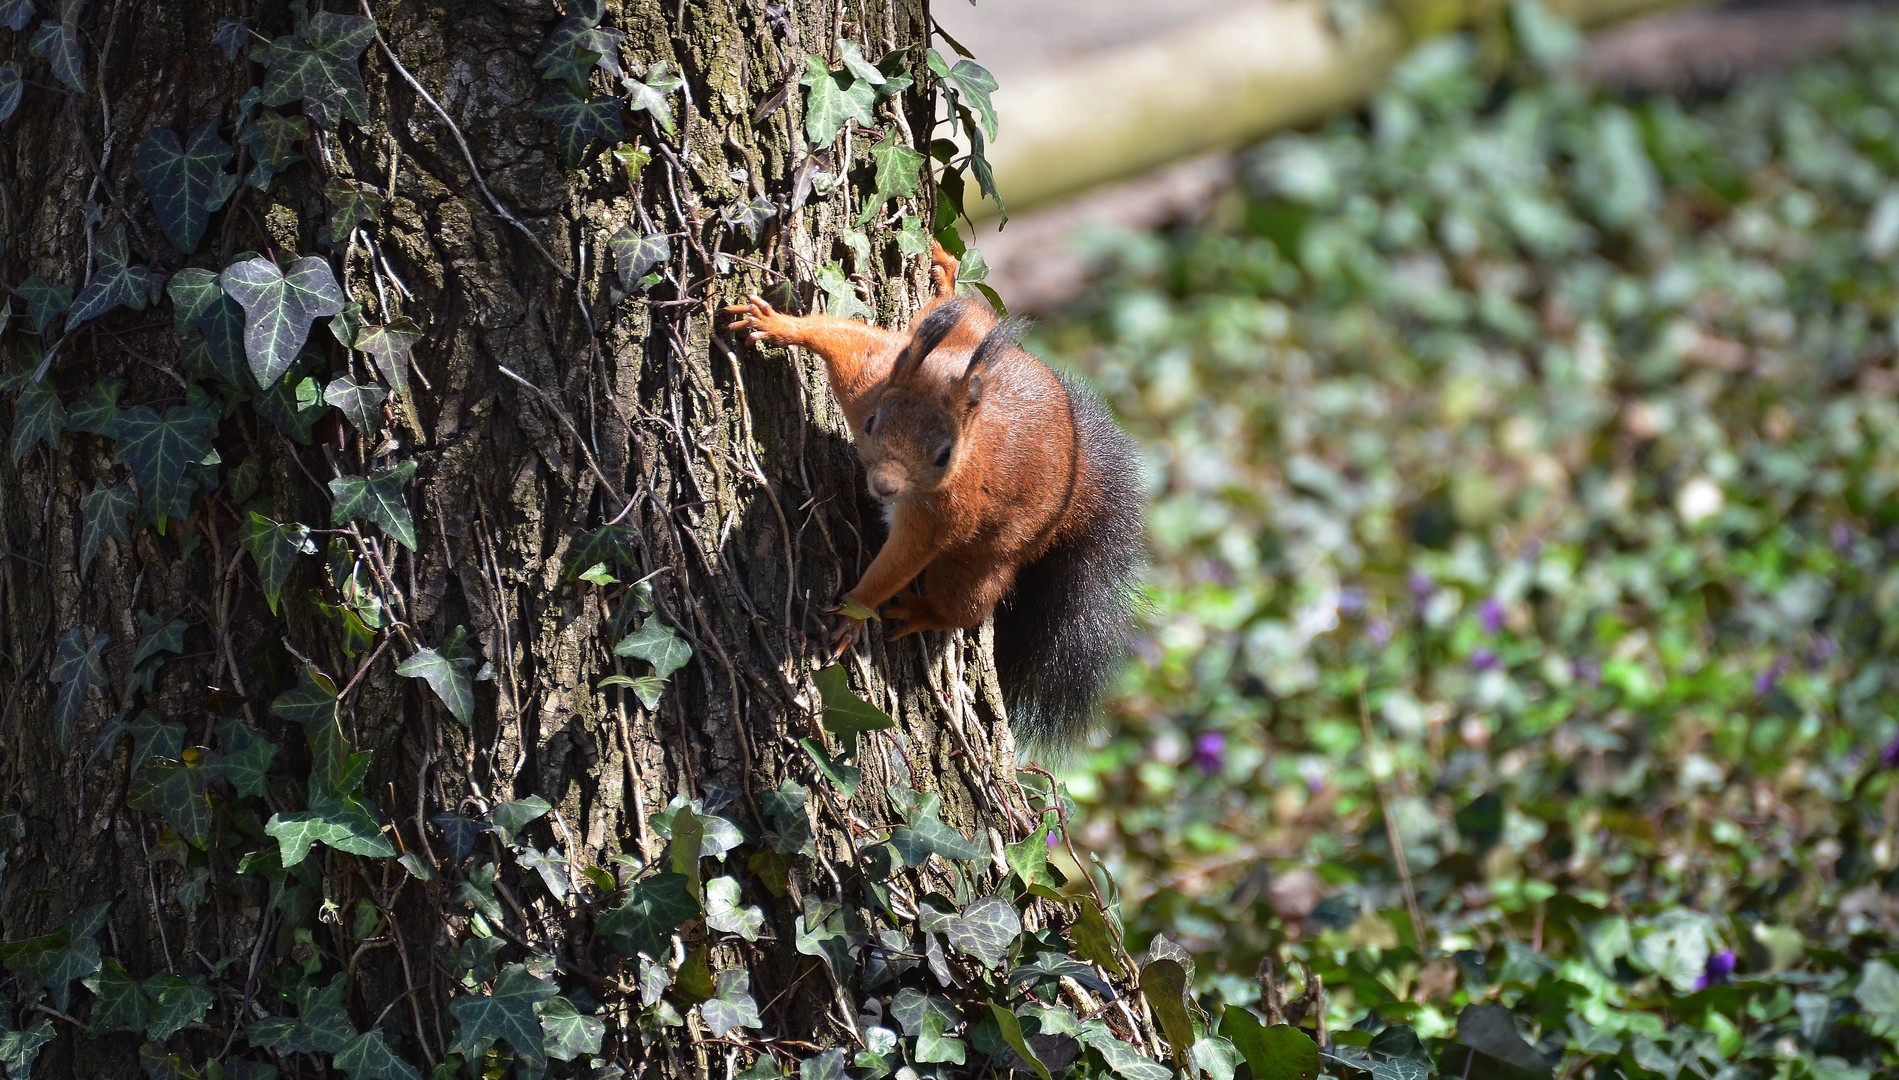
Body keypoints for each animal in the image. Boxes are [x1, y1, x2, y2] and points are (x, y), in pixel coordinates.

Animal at [725, 242, 1145, 751]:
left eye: (944, 456)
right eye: (872, 424)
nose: (884, 485)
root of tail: (1073, 488)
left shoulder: (938, 518)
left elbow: (901, 561)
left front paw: (855, 610)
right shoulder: (868, 377)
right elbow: (841, 336)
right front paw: (777, 324)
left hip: (980, 561)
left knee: (965, 607)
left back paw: (921, 613)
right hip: (955, 330)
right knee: (967, 312)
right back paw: (946, 278)